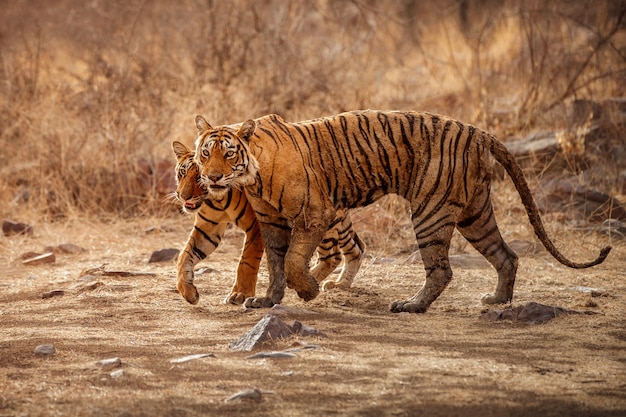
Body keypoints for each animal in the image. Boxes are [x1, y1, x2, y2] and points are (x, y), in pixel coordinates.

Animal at [171, 138, 366, 304]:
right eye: (182, 173)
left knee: (333, 255)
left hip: (322, 218)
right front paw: (188, 292)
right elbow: (185, 256)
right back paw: (339, 284)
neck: (216, 198)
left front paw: (240, 294)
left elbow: (247, 261)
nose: (182, 196)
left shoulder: (257, 225)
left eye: (199, 177)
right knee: (356, 247)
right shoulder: (208, 228)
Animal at [193, 110, 608, 312]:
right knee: (506, 256)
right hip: (475, 214)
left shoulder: (316, 213)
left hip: (430, 212)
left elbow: (294, 261)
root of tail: (478, 132)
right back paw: (496, 302)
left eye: (228, 153)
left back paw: (412, 306)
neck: (254, 177)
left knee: (441, 270)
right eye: (204, 152)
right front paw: (268, 300)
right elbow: (277, 263)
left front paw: (308, 291)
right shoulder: (272, 222)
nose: (211, 176)